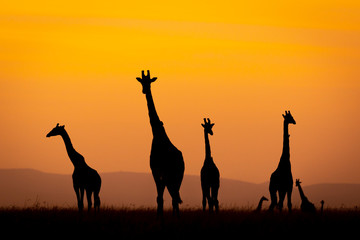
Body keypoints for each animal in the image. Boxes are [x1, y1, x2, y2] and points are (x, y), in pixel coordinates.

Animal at [136, 70, 184, 218]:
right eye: (142, 81)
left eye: (149, 81)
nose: (144, 90)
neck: (157, 133)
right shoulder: (160, 173)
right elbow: (161, 197)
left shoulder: (156, 171)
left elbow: (160, 197)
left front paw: (159, 218)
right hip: (176, 177)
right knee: (175, 197)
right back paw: (176, 218)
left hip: (173, 176)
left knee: (173, 197)